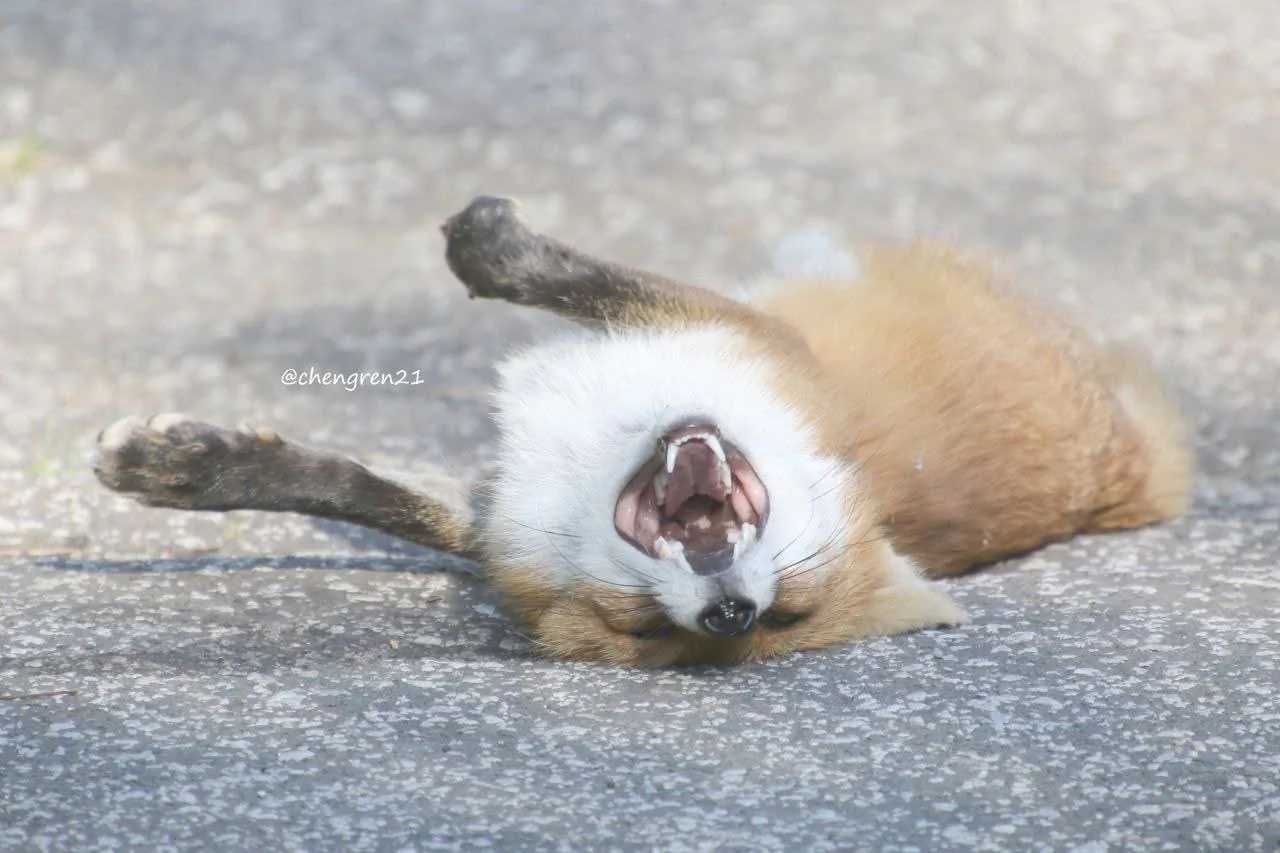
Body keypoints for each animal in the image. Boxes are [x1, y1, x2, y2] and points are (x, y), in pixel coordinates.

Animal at [92, 196, 1193, 667]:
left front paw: (493, 248)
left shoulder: (748, 334)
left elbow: (576, 278)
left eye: (784, 618)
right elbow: (350, 488)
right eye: (650, 627)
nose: (731, 614)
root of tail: (1142, 465)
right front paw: (189, 469)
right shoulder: (506, 493)